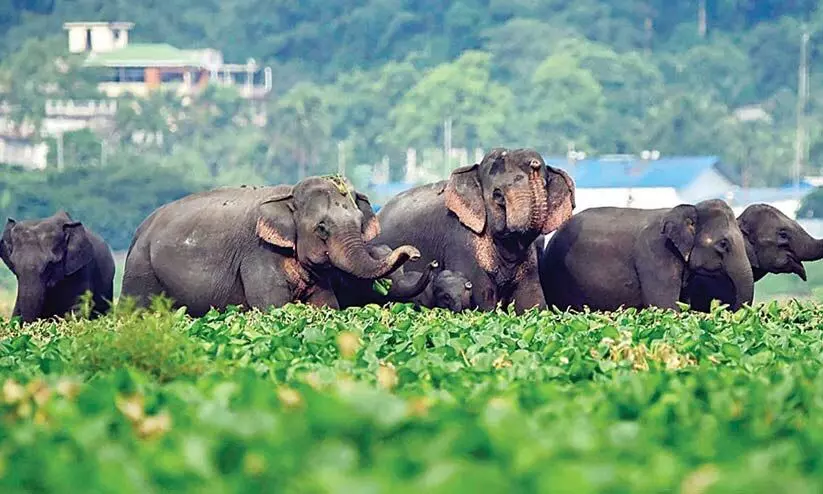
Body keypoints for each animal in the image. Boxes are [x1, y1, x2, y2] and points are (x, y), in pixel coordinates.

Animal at [120, 177, 421, 316]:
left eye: (359, 223)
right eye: (322, 228)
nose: (416, 254)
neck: (288, 195)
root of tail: (139, 230)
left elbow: (325, 305)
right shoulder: (257, 254)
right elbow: (273, 308)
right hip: (140, 269)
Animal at [375, 148, 576, 313]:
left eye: (545, 185)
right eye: (498, 195)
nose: (534, 163)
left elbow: (532, 304)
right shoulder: (461, 239)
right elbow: (483, 302)